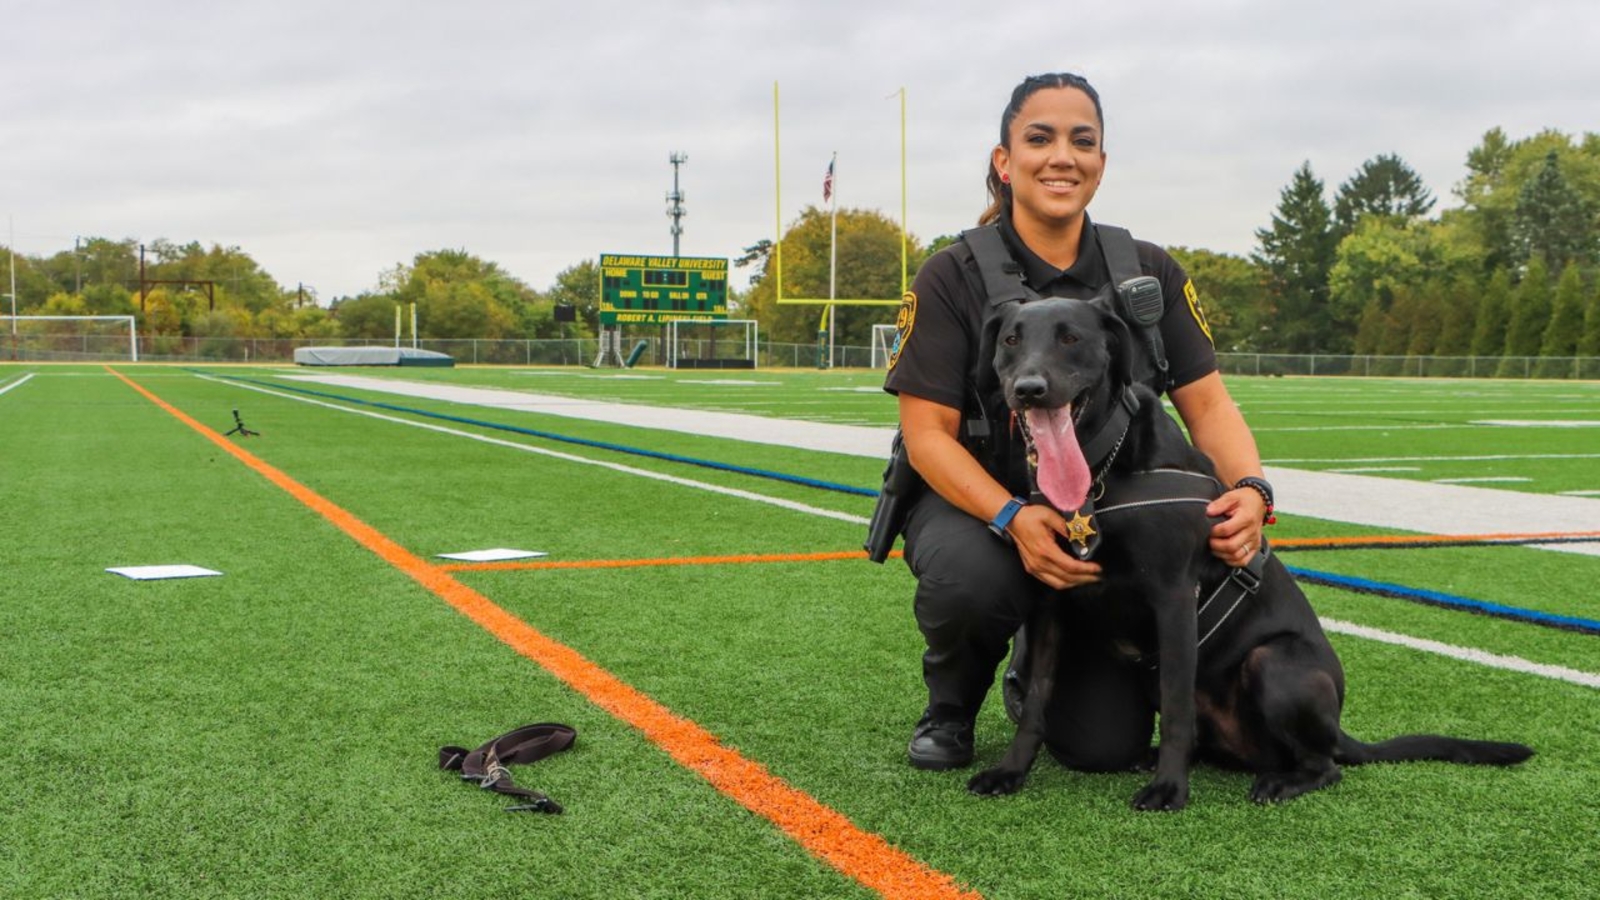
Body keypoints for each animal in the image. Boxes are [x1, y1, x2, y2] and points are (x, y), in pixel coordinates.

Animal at [966, 296, 1529, 807]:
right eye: (1010, 340)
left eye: (1071, 338)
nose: (1029, 390)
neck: (1099, 473)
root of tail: (1340, 731)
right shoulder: (1050, 600)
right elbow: (1036, 701)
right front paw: (1010, 772)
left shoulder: (1174, 598)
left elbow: (1176, 708)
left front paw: (1170, 790)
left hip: (1274, 663)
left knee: (1323, 765)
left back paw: (1278, 782)